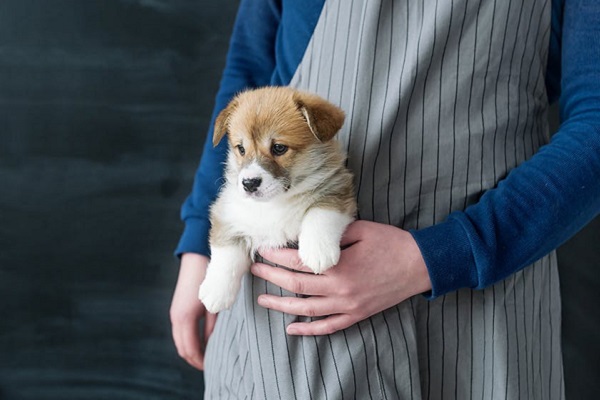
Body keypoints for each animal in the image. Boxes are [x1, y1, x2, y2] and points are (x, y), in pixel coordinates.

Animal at [199, 86, 356, 312]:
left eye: (279, 148)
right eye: (241, 149)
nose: (249, 184)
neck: (276, 202)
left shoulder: (337, 187)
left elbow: (321, 212)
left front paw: (318, 251)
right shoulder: (227, 211)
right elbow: (226, 250)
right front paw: (215, 291)